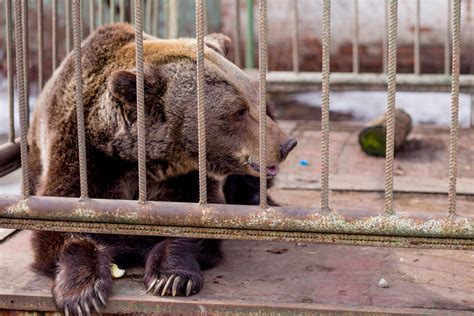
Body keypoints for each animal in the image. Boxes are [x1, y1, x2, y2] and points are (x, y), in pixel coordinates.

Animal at [27, 23, 294, 314]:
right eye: (238, 112)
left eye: (254, 102)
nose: (286, 144)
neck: (139, 160)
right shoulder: (83, 157)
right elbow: (60, 222)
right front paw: (83, 293)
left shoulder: (184, 178)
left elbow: (192, 223)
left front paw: (172, 277)